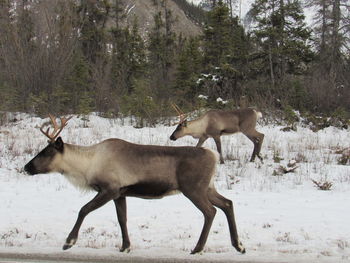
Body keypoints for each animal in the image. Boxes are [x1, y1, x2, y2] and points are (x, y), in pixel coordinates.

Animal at [23, 115, 246, 256]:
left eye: (46, 152)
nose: (26, 167)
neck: (87, 166)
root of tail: (213, 156)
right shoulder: (120, 194)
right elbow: (122, 219)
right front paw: (125, 247)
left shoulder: (109, 189)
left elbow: (83, 210)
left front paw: (69, 241)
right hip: (208, 187)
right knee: (227, 204)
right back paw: (239, 245)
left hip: (193, 188)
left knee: (210, 211)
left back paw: (198, 248)